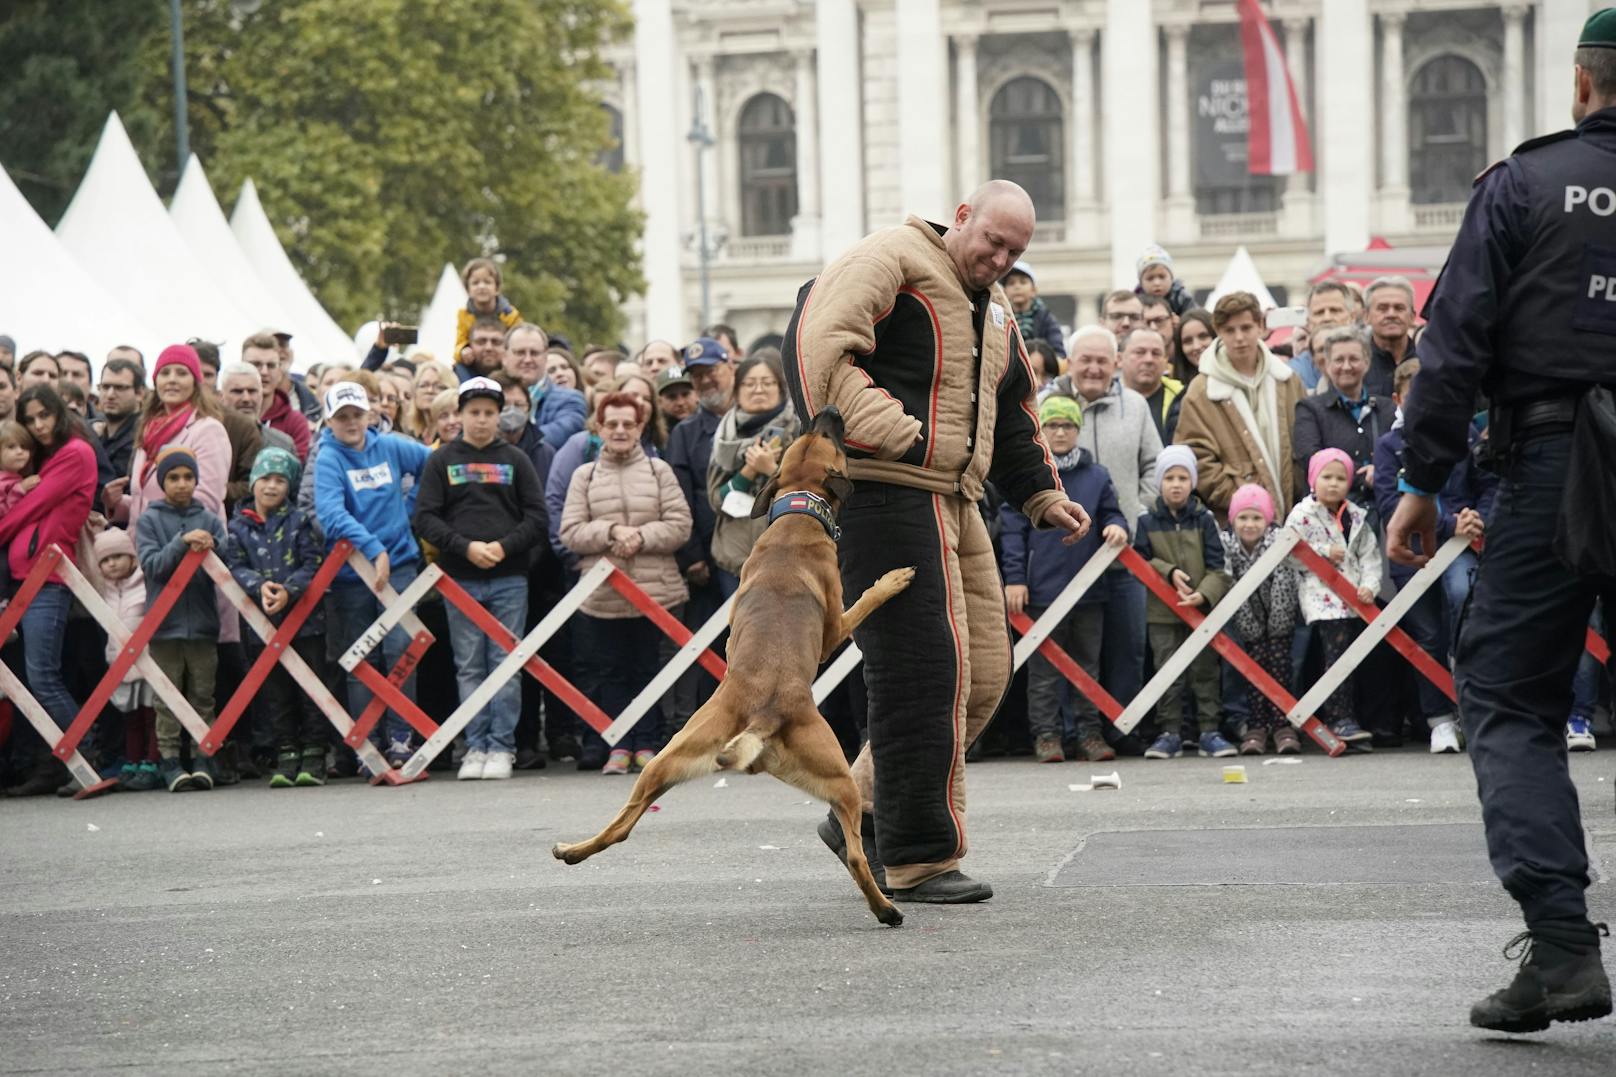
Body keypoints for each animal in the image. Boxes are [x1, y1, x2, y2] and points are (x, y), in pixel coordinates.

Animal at [552, 402, 911, 924]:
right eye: (829, 437)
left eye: (807, 434)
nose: (827, 409)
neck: (796, 516)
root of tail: (766, 713)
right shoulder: (833, 629)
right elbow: (863, 601)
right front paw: (892, 581)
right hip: (840, 778)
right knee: (856, 855)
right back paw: (885, 910)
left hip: (666, 761)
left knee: (622, 825)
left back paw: (573, 850)